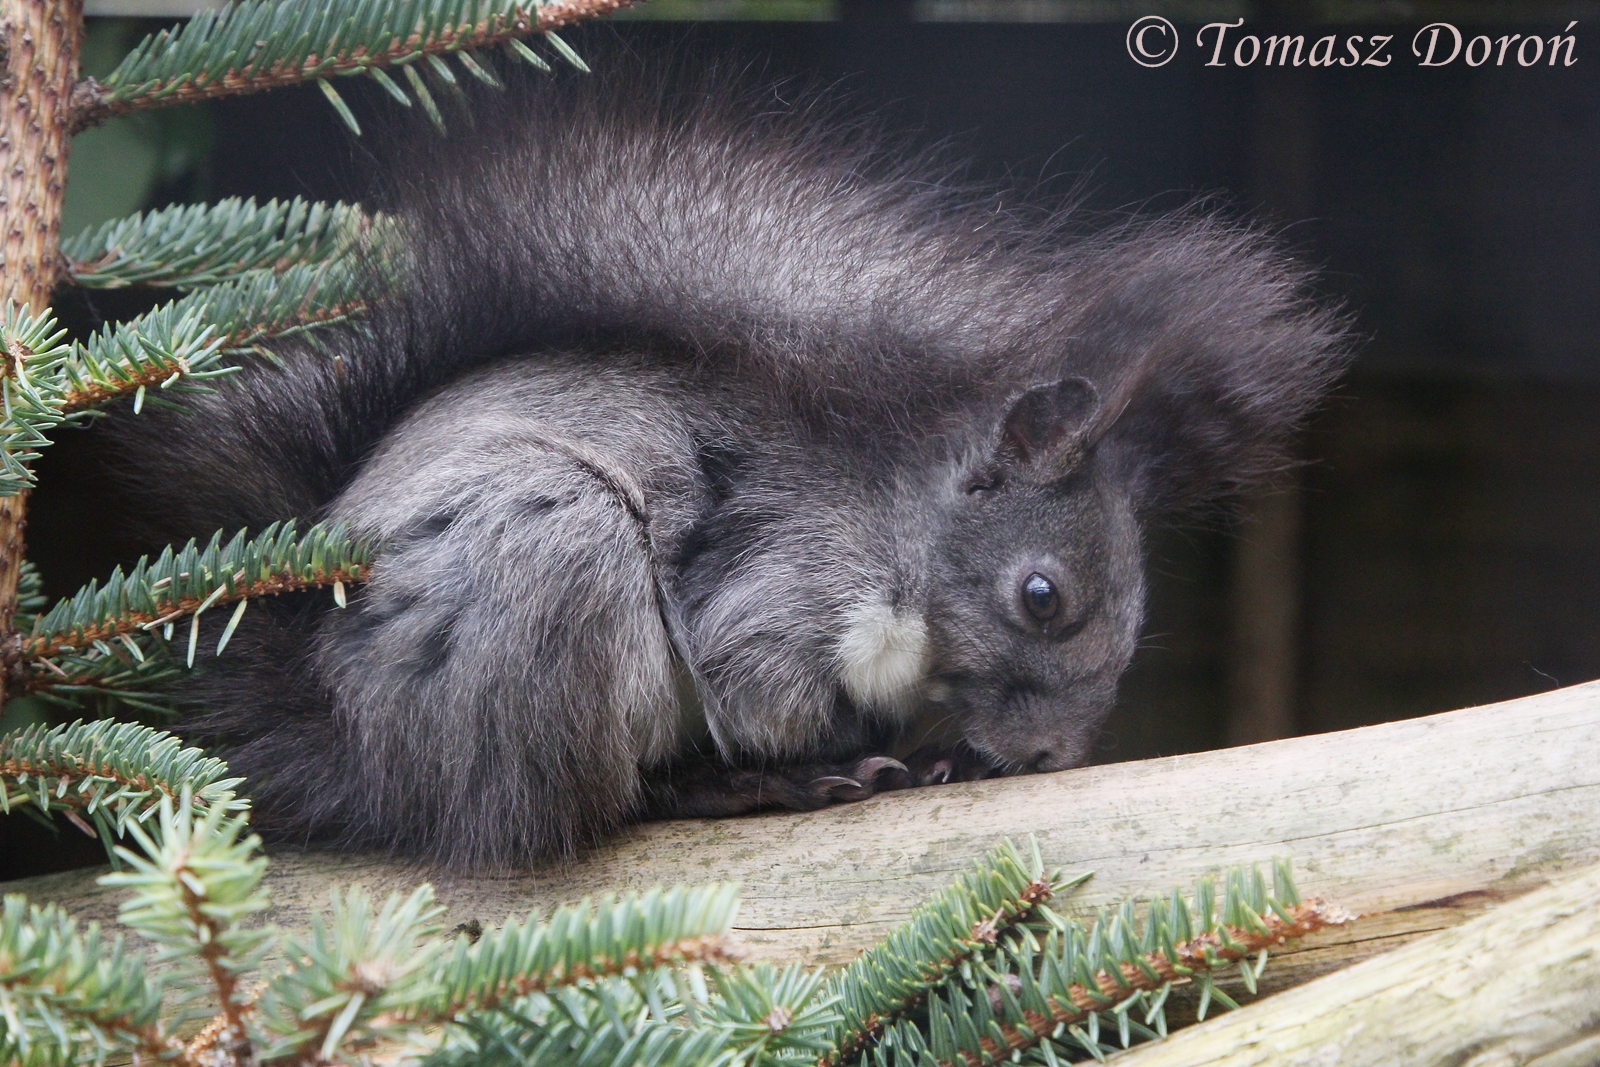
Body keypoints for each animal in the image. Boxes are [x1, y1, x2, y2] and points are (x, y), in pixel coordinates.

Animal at [103, 52, 1349, 867]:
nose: (1046, 753)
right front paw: (849, 751)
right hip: (549, 568)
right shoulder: (786, 578)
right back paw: (746, 787)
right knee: (580, 812)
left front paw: (946, 755)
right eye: (1041, 595)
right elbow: (755, 679)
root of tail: (338, 738)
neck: (902, 531)